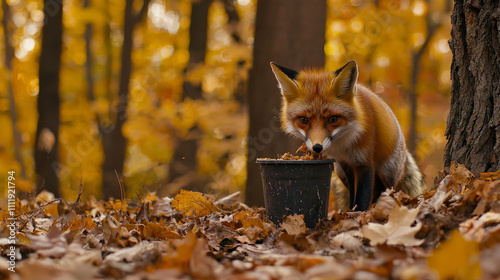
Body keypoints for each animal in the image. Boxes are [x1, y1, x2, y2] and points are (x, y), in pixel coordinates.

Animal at [270, 60, 426, 210]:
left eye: (333, 119)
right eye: (303, 120)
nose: (317, 148)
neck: (343, 144)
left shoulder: (364, 161)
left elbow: (363, 195)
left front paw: (360, 213)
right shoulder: (345, 163)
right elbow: (353, 193)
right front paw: (350, 211)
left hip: (387, 172)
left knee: (384, 189)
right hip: (341, 173)